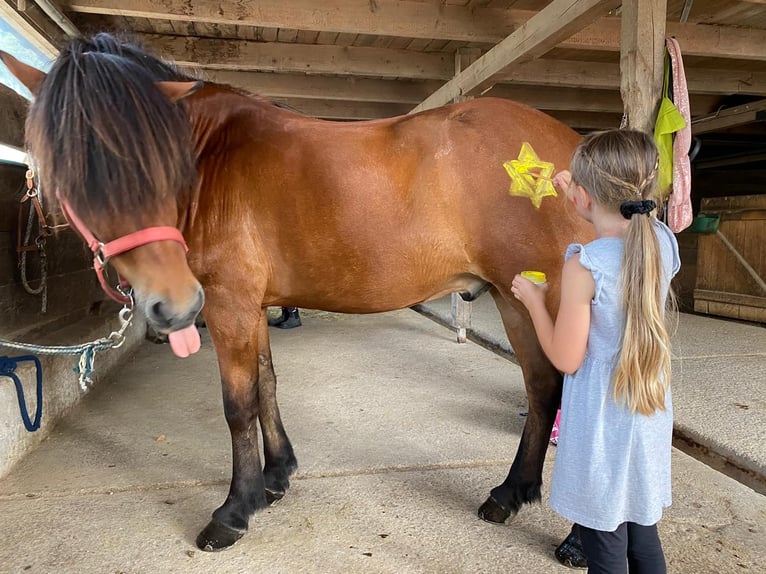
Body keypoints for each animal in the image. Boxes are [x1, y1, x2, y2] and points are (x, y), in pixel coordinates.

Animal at [1, 33, 593, 551]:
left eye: (158, 163)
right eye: (73, 169)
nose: (173, 306)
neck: (210, 160)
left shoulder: (228, 303)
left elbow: (238, 404)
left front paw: (234, 510)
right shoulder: (251, 306)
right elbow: (266, 385)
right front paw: (276, 476)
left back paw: (576, 540)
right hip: (514, 298)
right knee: (543, 389)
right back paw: (510, 494)